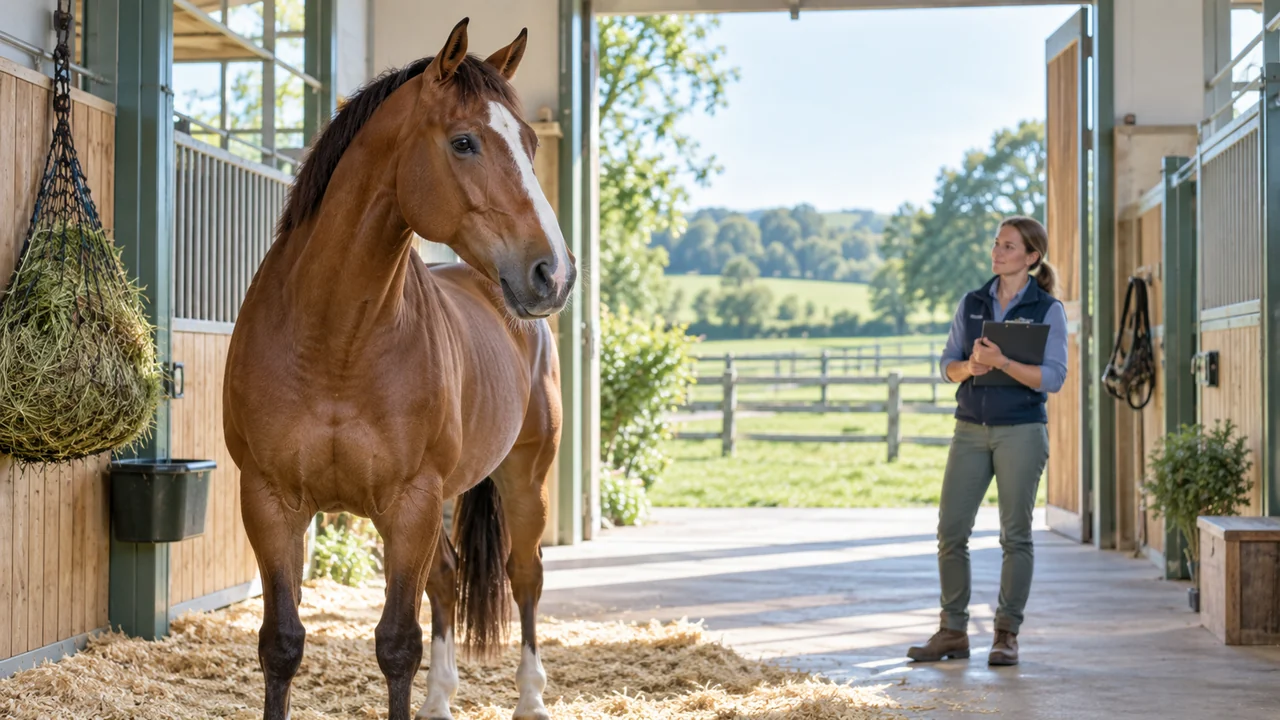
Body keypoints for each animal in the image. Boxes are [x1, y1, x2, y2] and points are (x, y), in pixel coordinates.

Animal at [222, 18, 574, 720]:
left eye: (529, 142)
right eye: (464, 141)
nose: (553, 272)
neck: (333, 341)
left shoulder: (410, 503)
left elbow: (396, 645)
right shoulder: (269, 501)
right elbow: (281, 642)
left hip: (525, 478)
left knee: (525, 575)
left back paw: (530, 699)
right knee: (447, 577)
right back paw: (441, 701)